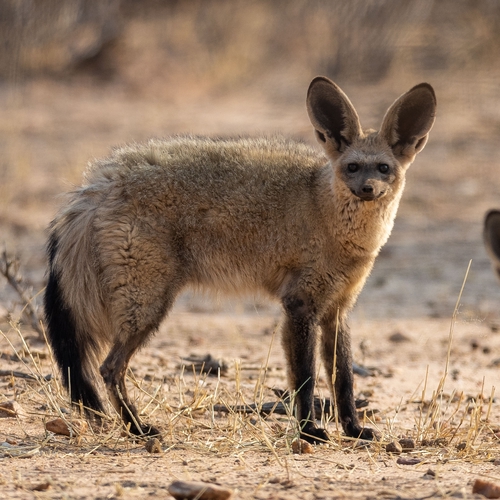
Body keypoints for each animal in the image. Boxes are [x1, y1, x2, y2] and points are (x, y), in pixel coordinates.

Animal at [45, 76, 436, 444]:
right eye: (353, 167)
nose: (367, 189)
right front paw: (309, 432)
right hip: (147, 307)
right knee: (109, 369)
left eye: (383, 168)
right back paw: (138, 429)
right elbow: (305, 379)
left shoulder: (337, 308)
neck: (328, 214)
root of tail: (101, 181)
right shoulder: (300, 304)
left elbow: (343, 378)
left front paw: (353, 429)